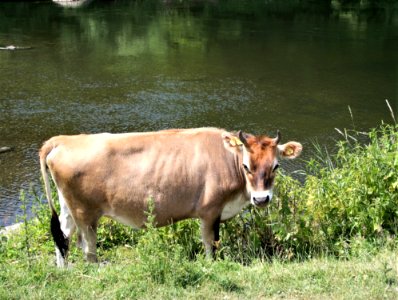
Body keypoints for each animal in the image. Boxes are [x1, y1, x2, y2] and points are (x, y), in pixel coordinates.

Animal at [40, 127, 302, 268]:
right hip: (85, 213)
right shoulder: (210, 210)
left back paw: (64, 270)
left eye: (276, 166)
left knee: (62, 236)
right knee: (87, 247)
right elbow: (211, 243)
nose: (261, 199)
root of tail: (63, 139)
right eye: (247, 166)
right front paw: (211, 265)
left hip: (68, 208)